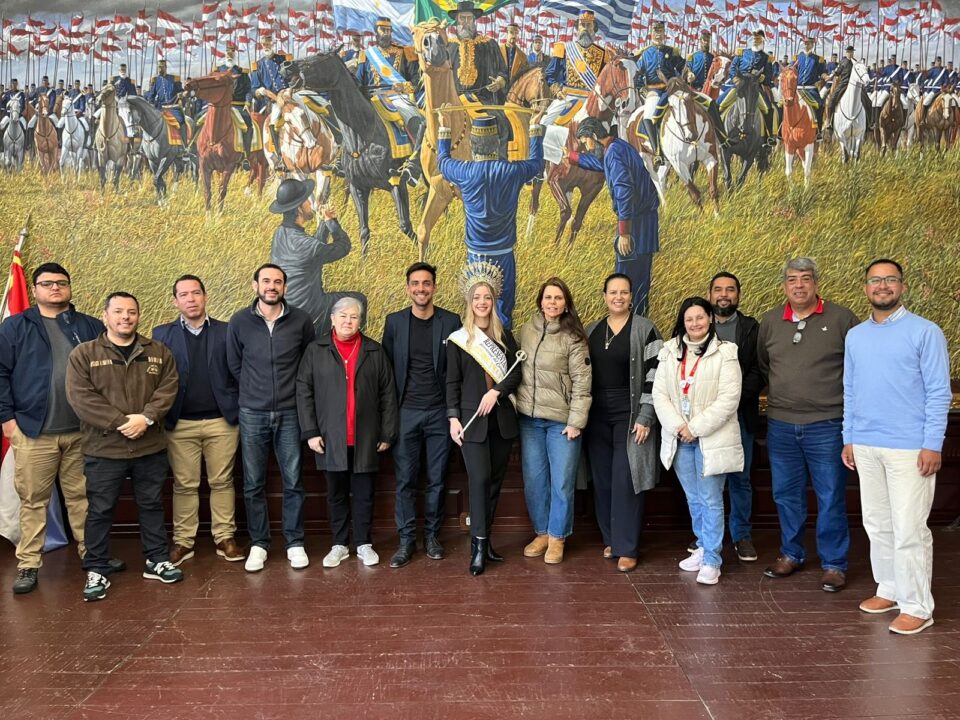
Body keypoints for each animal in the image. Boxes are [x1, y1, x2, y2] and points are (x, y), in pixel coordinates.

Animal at [183, 71, 268, 211]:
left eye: (217, 80)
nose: (188, 83)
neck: (215, 137)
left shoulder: (229, 166)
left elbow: (222, 190)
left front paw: (219, 212)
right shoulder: (204, 165)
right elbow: (207, 191)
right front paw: (208, 213)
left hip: (262, 158)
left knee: (261, 179)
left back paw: (258, 202)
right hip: (251, 157)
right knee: (254, 172)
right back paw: (248, 192)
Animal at [282, 50, 416, 256]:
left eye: (321, 55)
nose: (287, 66)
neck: (362, 134)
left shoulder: (396, 182)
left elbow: (406, 225)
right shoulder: (357, 187)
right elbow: (364, 230)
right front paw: (363, 262)